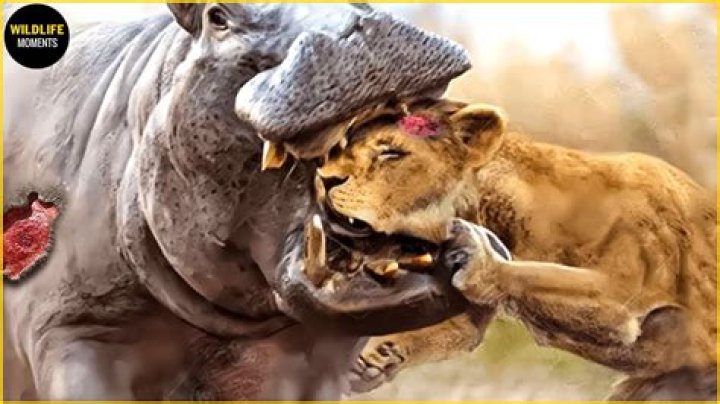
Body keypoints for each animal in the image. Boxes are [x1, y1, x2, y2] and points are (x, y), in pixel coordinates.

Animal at [312, 99, 717, 400]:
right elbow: (451, 330)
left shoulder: (621, 296)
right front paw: (371, 359)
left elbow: (533, 275)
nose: (324, 179)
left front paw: (480, 258)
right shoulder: (469, 316)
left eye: (391, 154)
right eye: (344, 148)